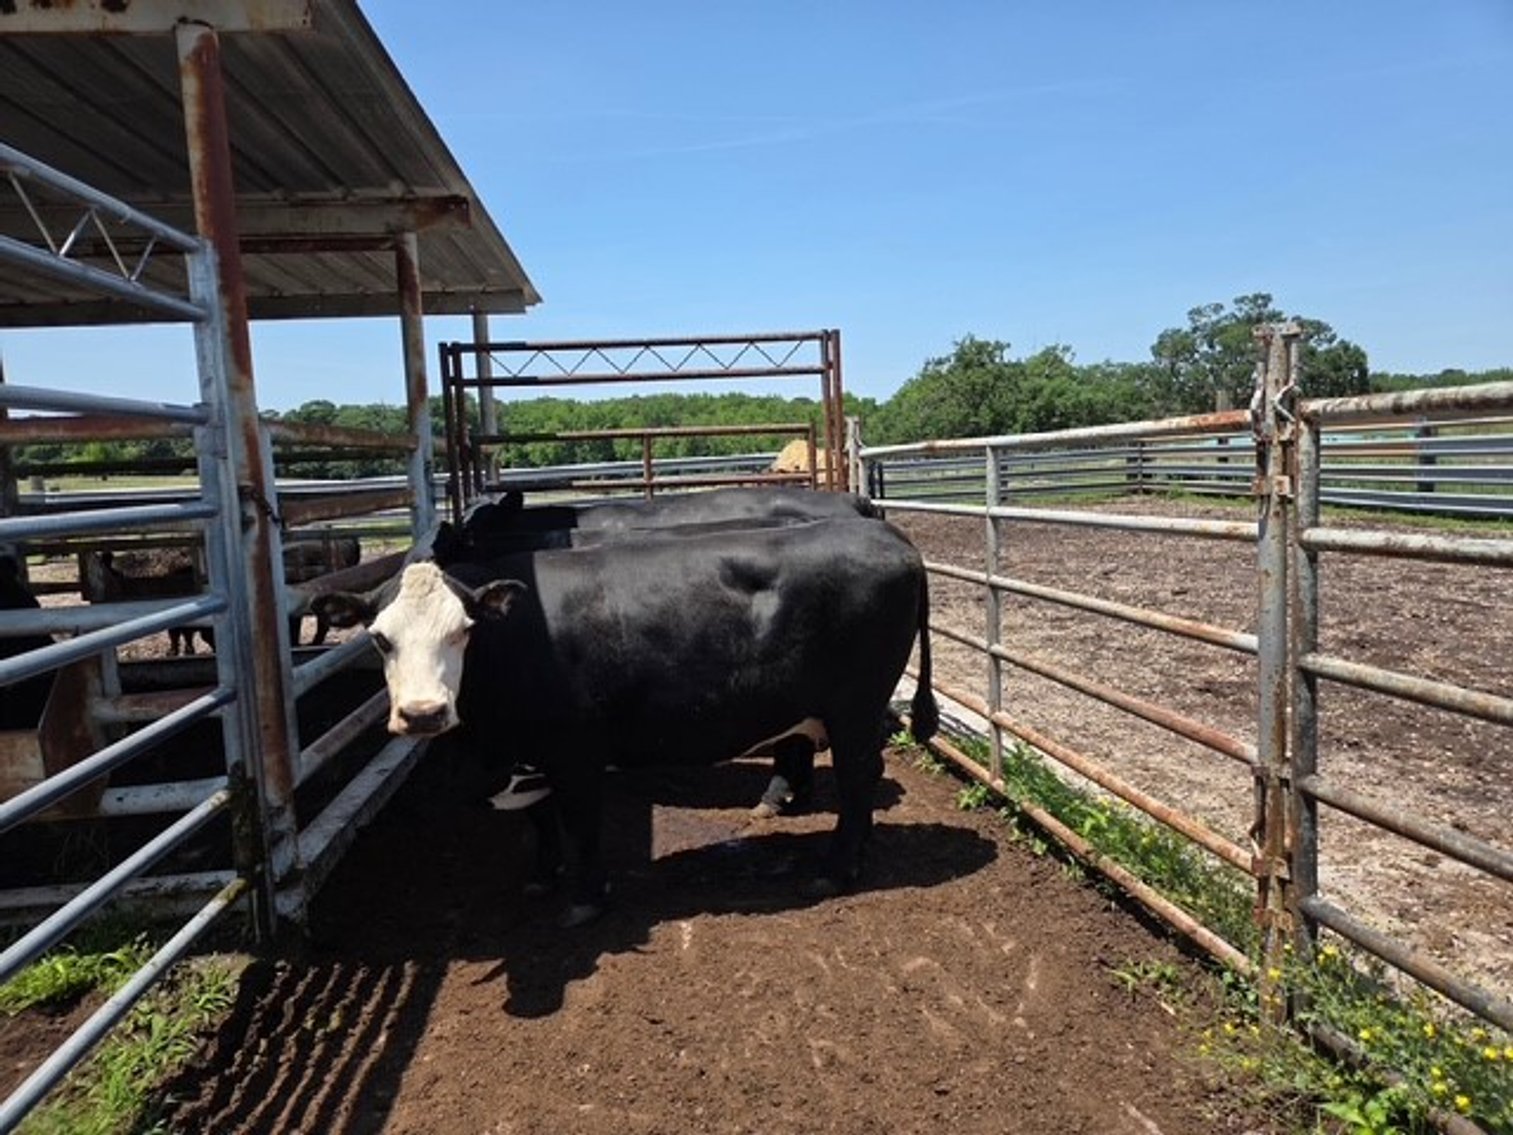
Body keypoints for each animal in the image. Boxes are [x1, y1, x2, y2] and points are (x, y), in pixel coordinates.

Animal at [314, 517, 939, 925]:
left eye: (463, 630)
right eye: (379, 637)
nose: (423, 713)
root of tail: (889, 536)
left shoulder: (575, 750)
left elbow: (581, 823)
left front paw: (586, 898)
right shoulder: (531, 750)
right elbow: (539, 819)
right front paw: (543, 876)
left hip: (854, 709)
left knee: (856, 779)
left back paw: (837, 866)